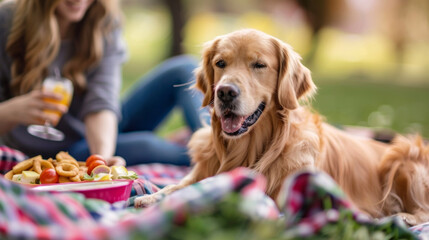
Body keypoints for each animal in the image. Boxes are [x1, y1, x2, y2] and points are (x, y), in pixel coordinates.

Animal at [135, 29, 428, 226]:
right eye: (220, 63)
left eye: (259, 65)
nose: (225, 92)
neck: (248, 150)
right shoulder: (202, 172)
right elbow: (180, 187)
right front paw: (153, 197)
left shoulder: (285, 200)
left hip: (405, 160)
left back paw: (402, 216)